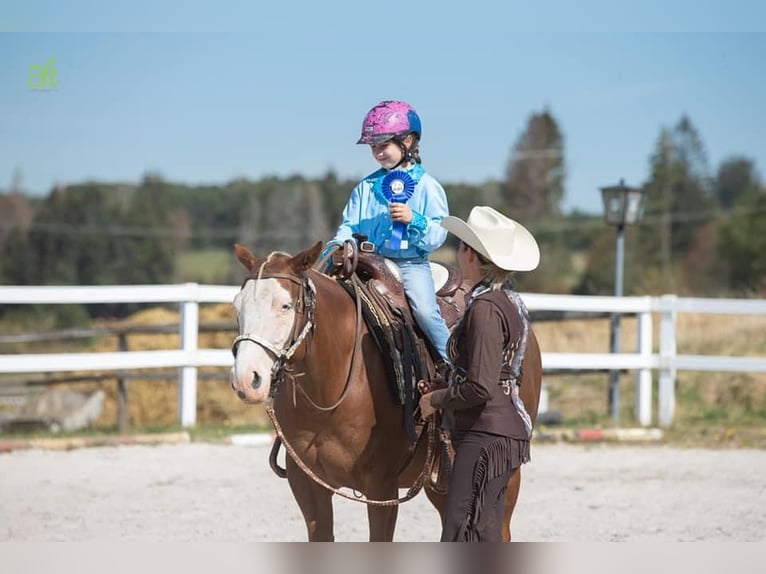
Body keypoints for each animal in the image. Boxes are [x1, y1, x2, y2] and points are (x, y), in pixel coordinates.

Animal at [229, 241, 543, 541]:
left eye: (285, 306)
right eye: (237, 306)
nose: (246, 379)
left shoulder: (381, 487)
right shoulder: (307, 483)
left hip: (504, 476)